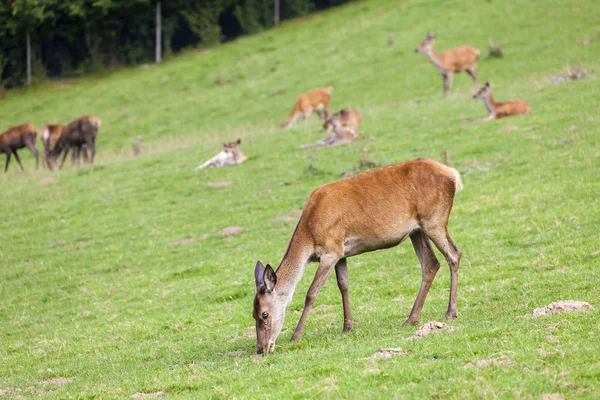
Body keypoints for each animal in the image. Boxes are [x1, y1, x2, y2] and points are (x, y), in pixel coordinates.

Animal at [253, 158, 464, 354]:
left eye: (264, 314)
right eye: (252, 314)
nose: (261, 349)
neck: (309, 237)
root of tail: (453, 175)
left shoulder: (331, 250)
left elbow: (311, 293)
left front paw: (295, 336)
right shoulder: (341, 253)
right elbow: (343, 285)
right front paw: (348, 326)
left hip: (434, 220)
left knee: (453, 253)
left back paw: (450, 312)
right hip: (417, 231)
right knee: (430, 264)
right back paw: (411, 319)